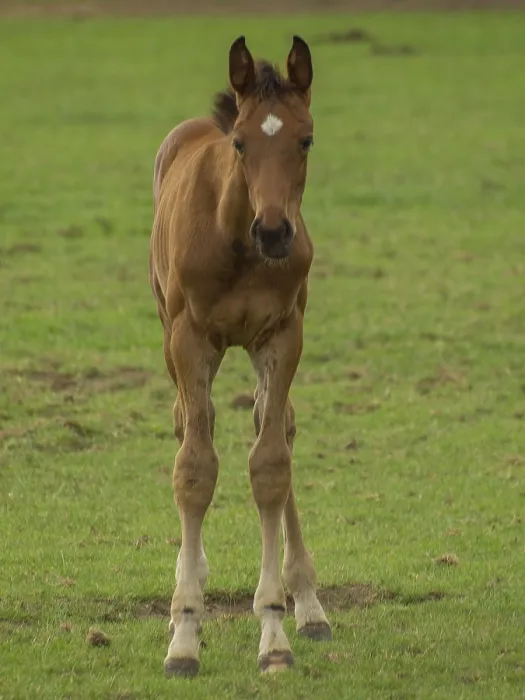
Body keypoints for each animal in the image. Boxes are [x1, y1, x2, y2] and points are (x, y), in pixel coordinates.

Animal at [149, 35, 331, 677]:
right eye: (241, 143)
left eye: (306, 139)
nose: (274, 232)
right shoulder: (189, 338)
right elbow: (195, 469)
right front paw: (184, 632)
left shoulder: (282, 334)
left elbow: (271, 463)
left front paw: (275, 630)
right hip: (170, 335)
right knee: (187, 425)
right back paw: (189, 575)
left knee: (273, 426)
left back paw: (309, 603)